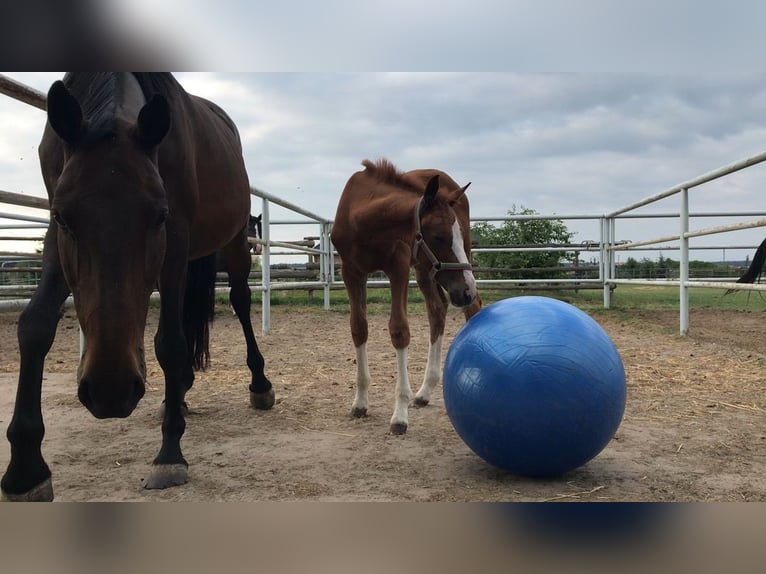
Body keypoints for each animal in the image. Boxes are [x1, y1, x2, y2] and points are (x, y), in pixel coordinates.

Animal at [0, 73, 276, 504]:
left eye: (159, 216)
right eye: (62, 217)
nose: (109, 390)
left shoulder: (175, 236)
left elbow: (170, 343)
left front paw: (170, 454)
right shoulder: (55, 238)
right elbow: (34, 327)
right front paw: (25, 469)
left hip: (231, 242)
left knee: (241, 302)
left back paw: (258, 384)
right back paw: (178, 393)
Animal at [332, 159, 484, 436]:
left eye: (457, 232)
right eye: (439, 236)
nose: (467, 290)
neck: (363, 219)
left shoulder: (399, 266)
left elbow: (399, 330)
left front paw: (400, 415)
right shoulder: (351, 272)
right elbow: (358, 328)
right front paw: (360, 403)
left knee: (469, 308)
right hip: (426, 270)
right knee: (437, 310)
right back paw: (424, 392)